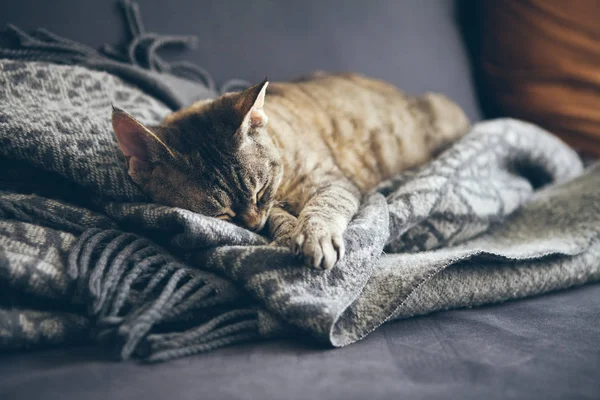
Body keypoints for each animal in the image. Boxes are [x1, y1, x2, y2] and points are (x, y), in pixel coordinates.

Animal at [111, 73, 468, 270]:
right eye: (222, 214)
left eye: (260, 190)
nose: (253, 224)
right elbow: (282, 218)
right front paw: (287, 233)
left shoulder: (331, 182)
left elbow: (322, 207)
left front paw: (313, 236)